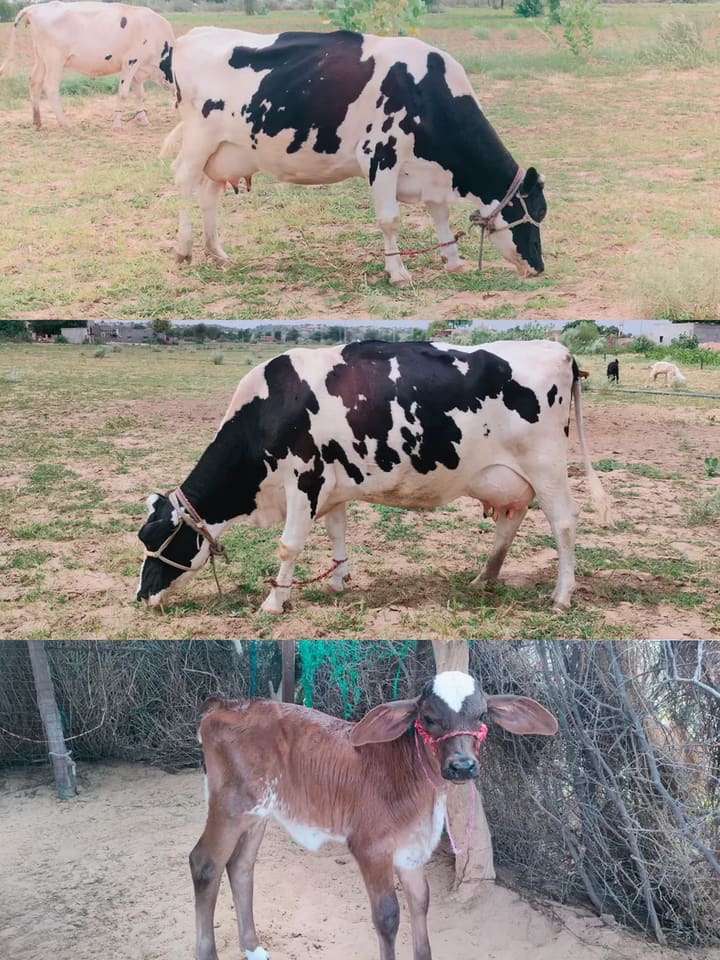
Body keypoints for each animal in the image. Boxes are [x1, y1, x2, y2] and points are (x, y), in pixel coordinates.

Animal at [0, 1, 174, 129]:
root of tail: (35, 7)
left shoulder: (139, 69)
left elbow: (140, 94)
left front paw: (143, 120)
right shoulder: (131, 62)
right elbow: (123, 93)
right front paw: (117, 124)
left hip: (40, 57)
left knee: (34, 81)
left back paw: (37, 121)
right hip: (54, 59)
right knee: (50, 86)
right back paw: (64, 123)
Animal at [136, 339, 610, 615]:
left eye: (158, 539)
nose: (141, 596)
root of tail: (558, 349)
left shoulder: (304, 480)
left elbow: (289, 546)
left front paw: (274, 601)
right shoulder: (332, 486)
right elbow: (337, 531)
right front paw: (338, 581)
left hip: (547, 466)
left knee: (564, 524)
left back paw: (561, 595)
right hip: (507, 475)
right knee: (511, 519)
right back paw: (483, 578)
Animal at [160, 28, 547, 286]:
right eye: (534, 213)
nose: (539, 266)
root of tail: (192, 34)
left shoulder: (429, 172)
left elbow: (439, 213)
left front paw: (452, 260)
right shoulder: (381, 154)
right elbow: (390, 219)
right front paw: (397, 272)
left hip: (227, 151)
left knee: (209, 193)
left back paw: (217, 252)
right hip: (199, 138)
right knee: (183, 179)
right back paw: (183, 249)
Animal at [192, 670, 558, 960]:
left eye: (482, 715)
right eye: (428, 717)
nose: (462, 766)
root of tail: (227, 705)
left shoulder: (411, 853)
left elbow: (421, 903)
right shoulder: (371, 849)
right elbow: (388, 916)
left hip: (257, 814)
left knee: (240, 867)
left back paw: (253, 948)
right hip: (229, 806)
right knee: (205, 863)